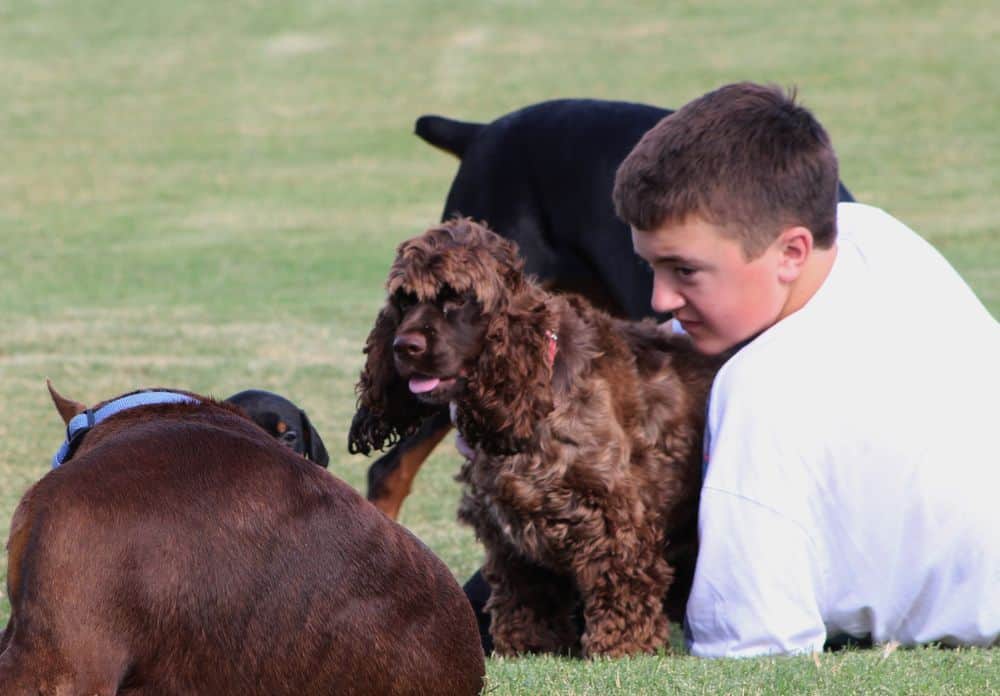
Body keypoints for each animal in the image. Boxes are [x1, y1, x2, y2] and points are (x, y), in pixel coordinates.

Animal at [350, 219, 720, 656]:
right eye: (404, 299)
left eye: (457, 298)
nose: (404, 347)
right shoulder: (511, 520)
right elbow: (526, 592)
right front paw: (528, 644)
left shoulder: (612, 508)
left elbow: (621, 579)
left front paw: (623, 646)